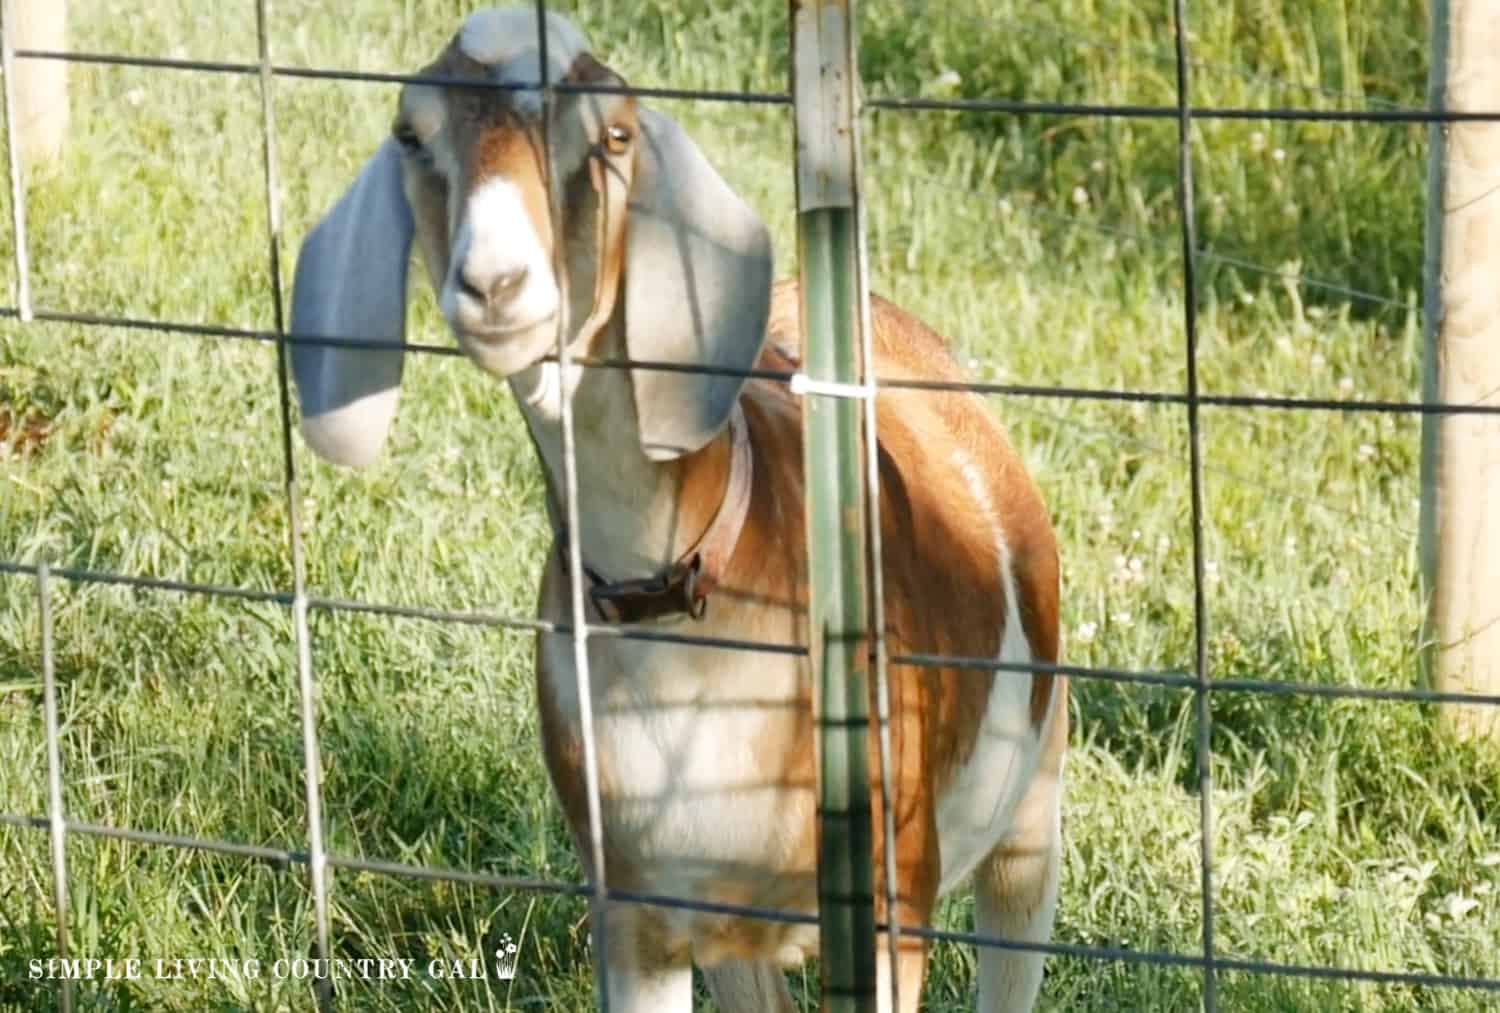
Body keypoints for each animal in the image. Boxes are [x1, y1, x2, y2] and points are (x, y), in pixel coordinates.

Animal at [288, 8, 1066, 1011]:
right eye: (412, 134)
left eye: (615, 136)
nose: (496, 285)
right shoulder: (637, 911)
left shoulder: (893, 897)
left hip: (1031, 814)